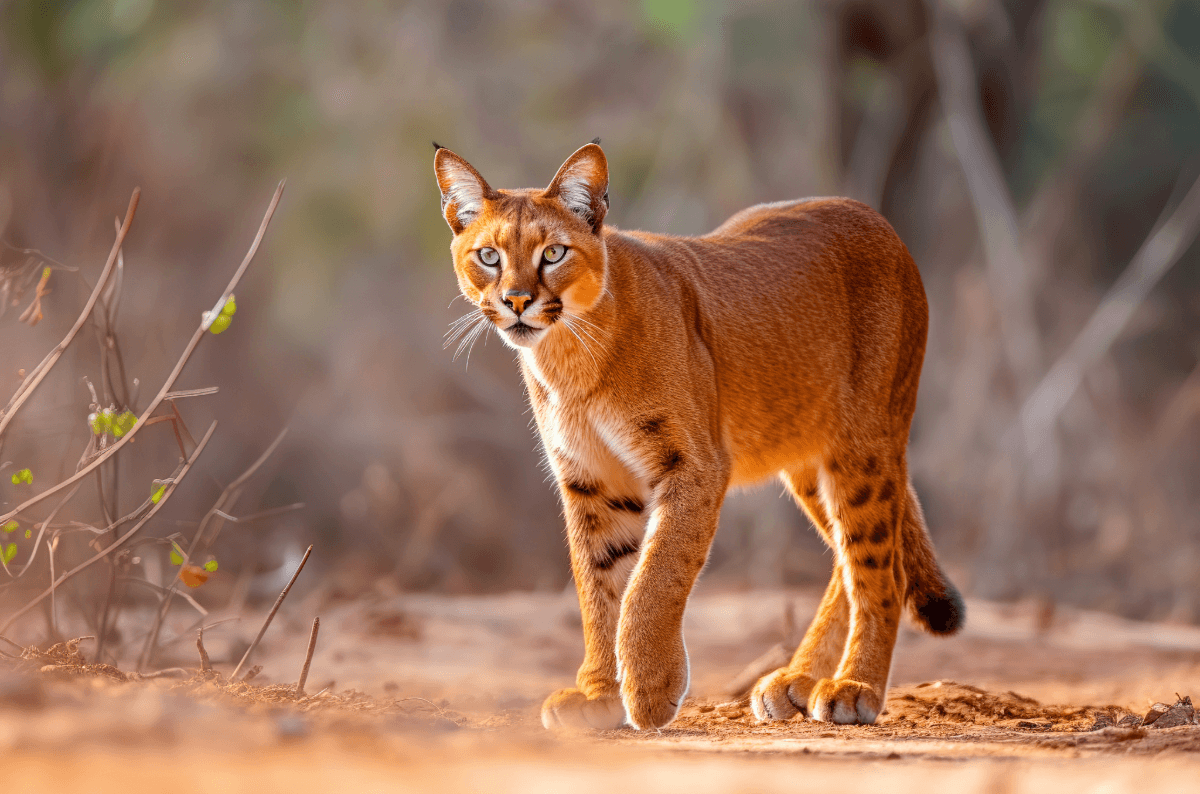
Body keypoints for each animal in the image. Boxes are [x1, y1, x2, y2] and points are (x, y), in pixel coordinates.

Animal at [434, 139, 964, 729]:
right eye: (488, 256)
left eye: (553, 253)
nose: (517, 301)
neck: (571, 353)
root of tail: (874, 217)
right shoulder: (590, 479)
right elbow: (598, 584)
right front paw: (599, 694)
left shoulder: (692, 463)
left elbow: (655, 576)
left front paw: (649, 689)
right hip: (809, 456)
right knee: (852, 559)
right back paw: (799, 681)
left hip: (863, 446)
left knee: (880, 570)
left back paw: (853, 687)